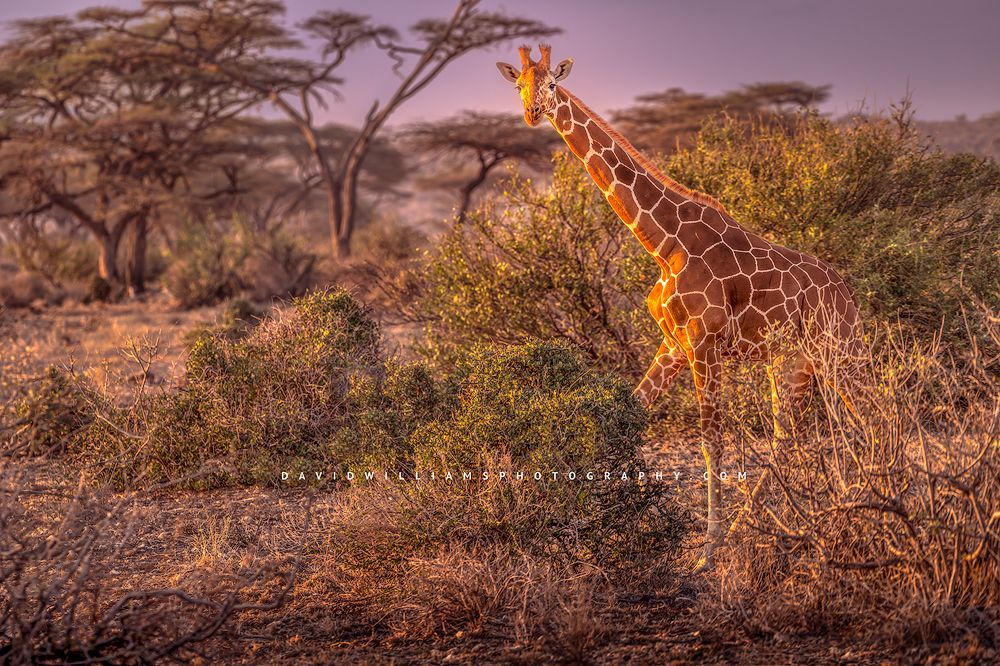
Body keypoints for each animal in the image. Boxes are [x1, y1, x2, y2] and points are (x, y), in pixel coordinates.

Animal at [497, 45, 862, 570]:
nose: (531, 112)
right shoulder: (672, 343)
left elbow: (712, 443)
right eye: (518, 85)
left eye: (550, 84)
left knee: (869, 415)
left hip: (839, 354)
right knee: (789, 437)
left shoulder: (703, 343)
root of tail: (849, 295)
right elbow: (625, 418)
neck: (663, 242)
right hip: (791, 363)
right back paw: (772, 521)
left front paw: (707, 551)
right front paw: (568, 526)